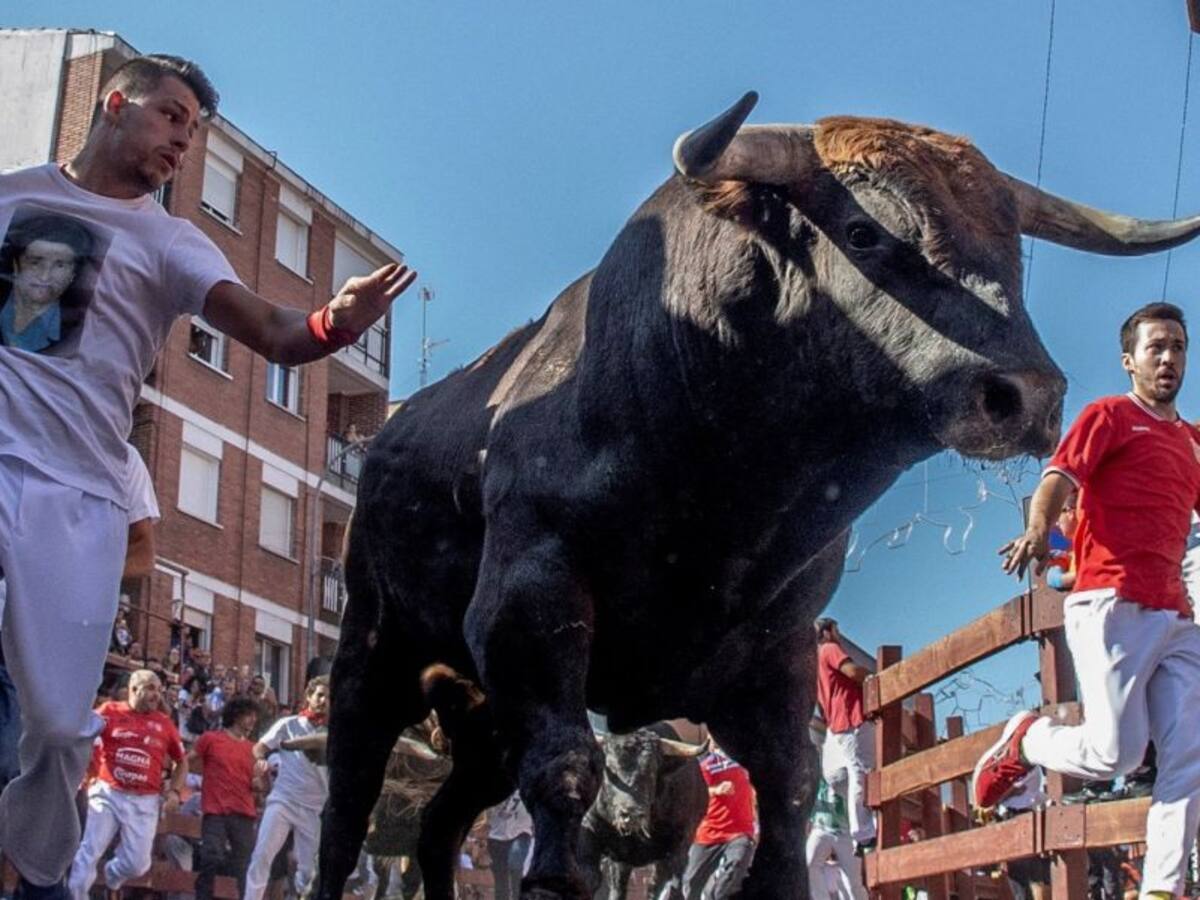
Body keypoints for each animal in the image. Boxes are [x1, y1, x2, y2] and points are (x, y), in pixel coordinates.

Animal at [578, 724, 709, 900]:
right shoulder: (590, 829)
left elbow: (673, 886)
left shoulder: (678, 846)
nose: (632, 815)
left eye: (651, 771)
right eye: (608, 769)